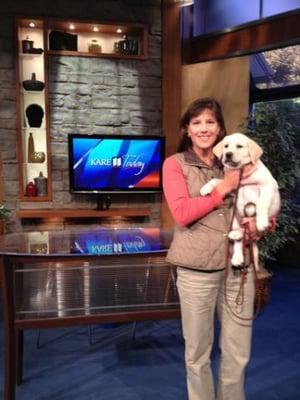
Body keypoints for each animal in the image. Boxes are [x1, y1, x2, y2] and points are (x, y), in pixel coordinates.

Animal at [200, 133, 280, 270]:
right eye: (226, 146)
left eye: (240, 146)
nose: (228, 154)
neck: (241, 170)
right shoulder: (233, 189)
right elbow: (216, 180)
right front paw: (205, 188)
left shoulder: (268, 185)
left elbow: (261, 204)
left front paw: (261, 222)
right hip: (235, 219)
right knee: (240, 238)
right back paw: (236, 250)